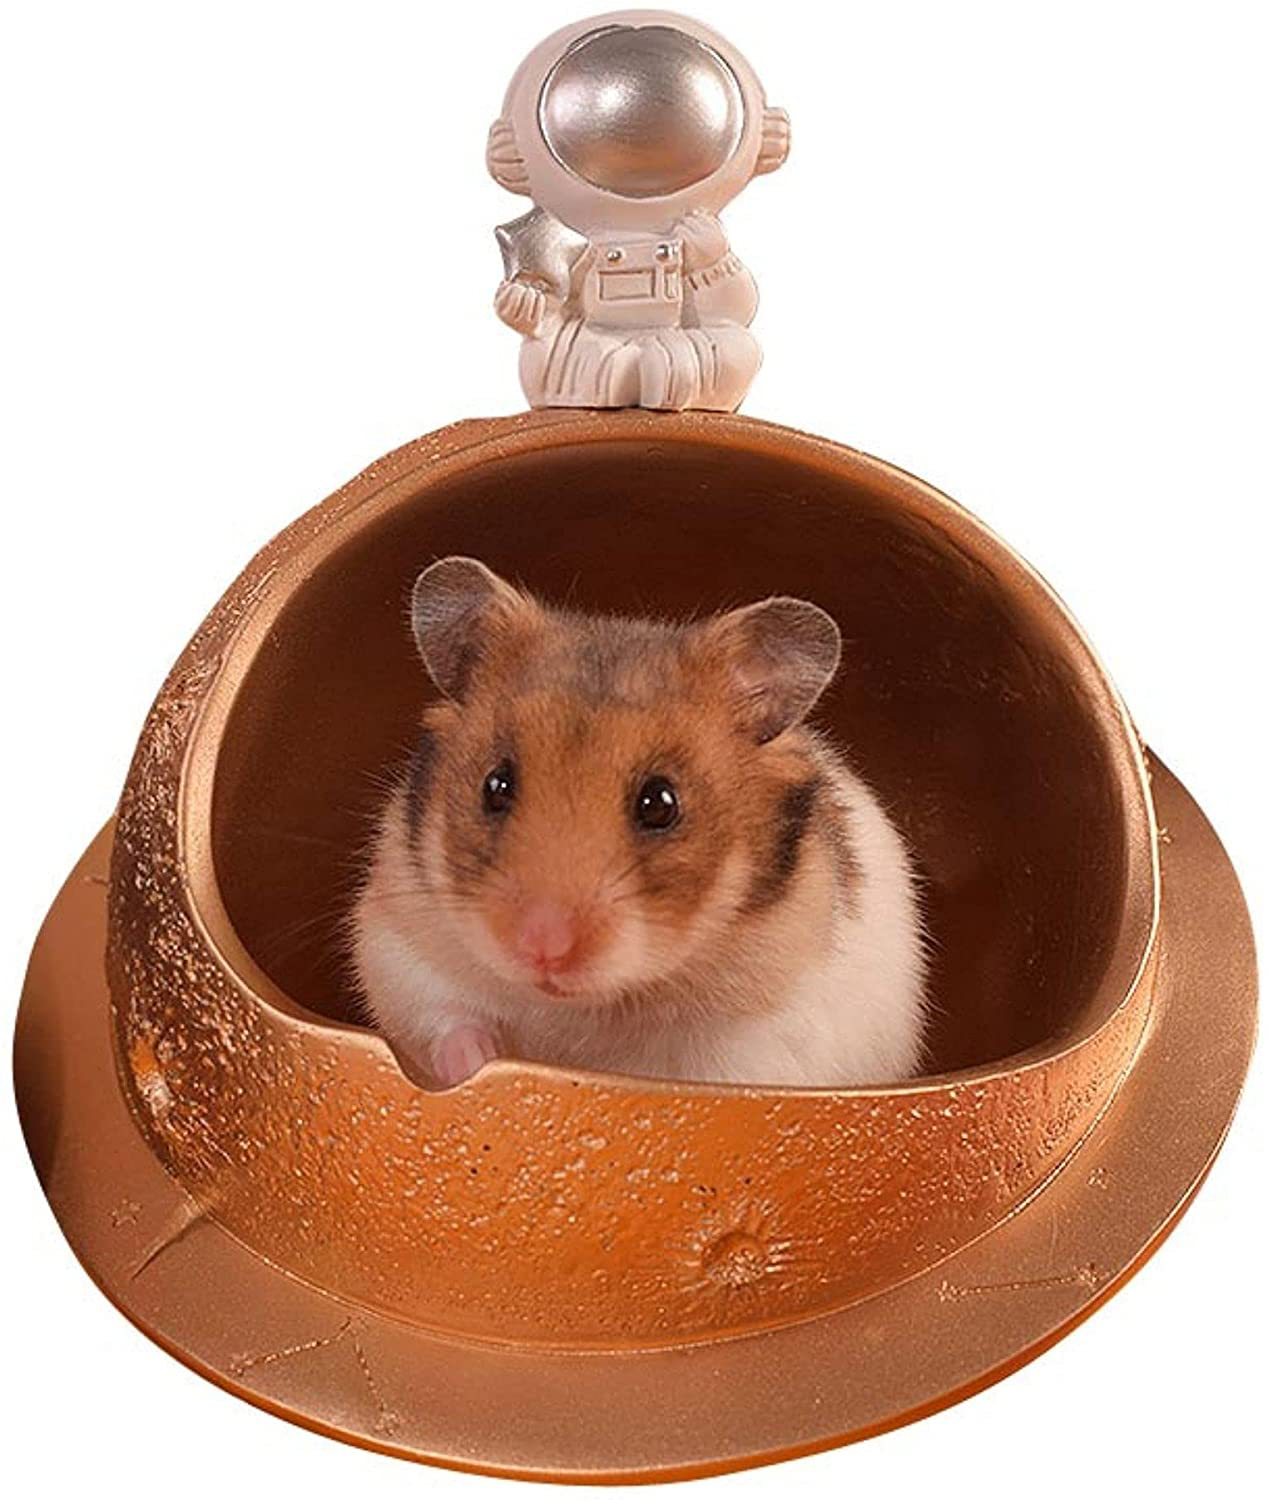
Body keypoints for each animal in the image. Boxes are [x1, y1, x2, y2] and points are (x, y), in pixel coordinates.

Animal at [350, 557, 927, 1089]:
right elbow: (447, 1023)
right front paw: (476, 1063)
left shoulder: (761, 1049)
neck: (583, 1004)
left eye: (660, 803)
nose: (542, 948)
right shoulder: (399, 951)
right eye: (495, 786)